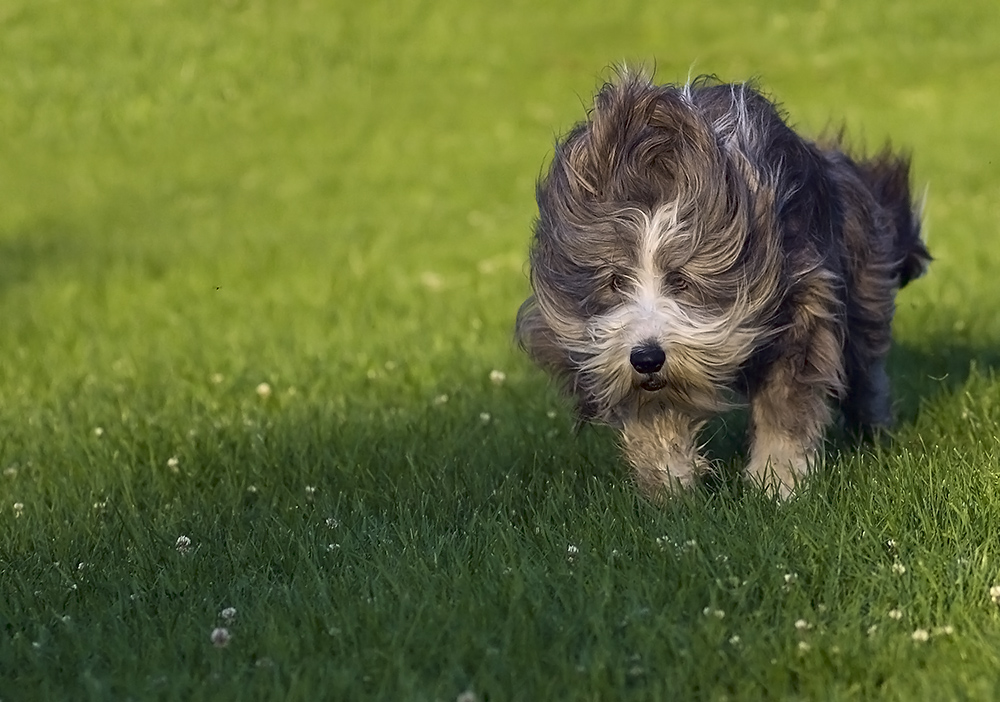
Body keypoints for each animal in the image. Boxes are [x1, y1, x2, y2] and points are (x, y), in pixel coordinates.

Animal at [516, 70, 928, 500]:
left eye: (681, 279)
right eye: (615, 280)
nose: (646, 358)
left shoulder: (803, 300)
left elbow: (786, 397)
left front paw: (777, 482)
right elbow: (651, 410)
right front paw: (669, 478)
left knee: (864, 367)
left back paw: (873, 428)